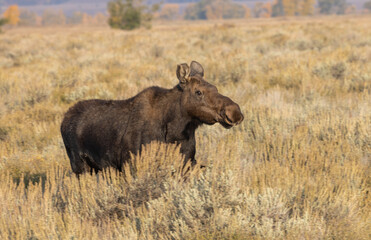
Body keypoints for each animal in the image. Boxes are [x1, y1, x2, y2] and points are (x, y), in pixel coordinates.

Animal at [61, 61, 244, 175]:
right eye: (198, 92)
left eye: (215, 87)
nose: (234, 112)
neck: (177, 130)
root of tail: (63, 121)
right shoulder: (130, 164)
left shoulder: (187, 162)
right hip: (79, 166)